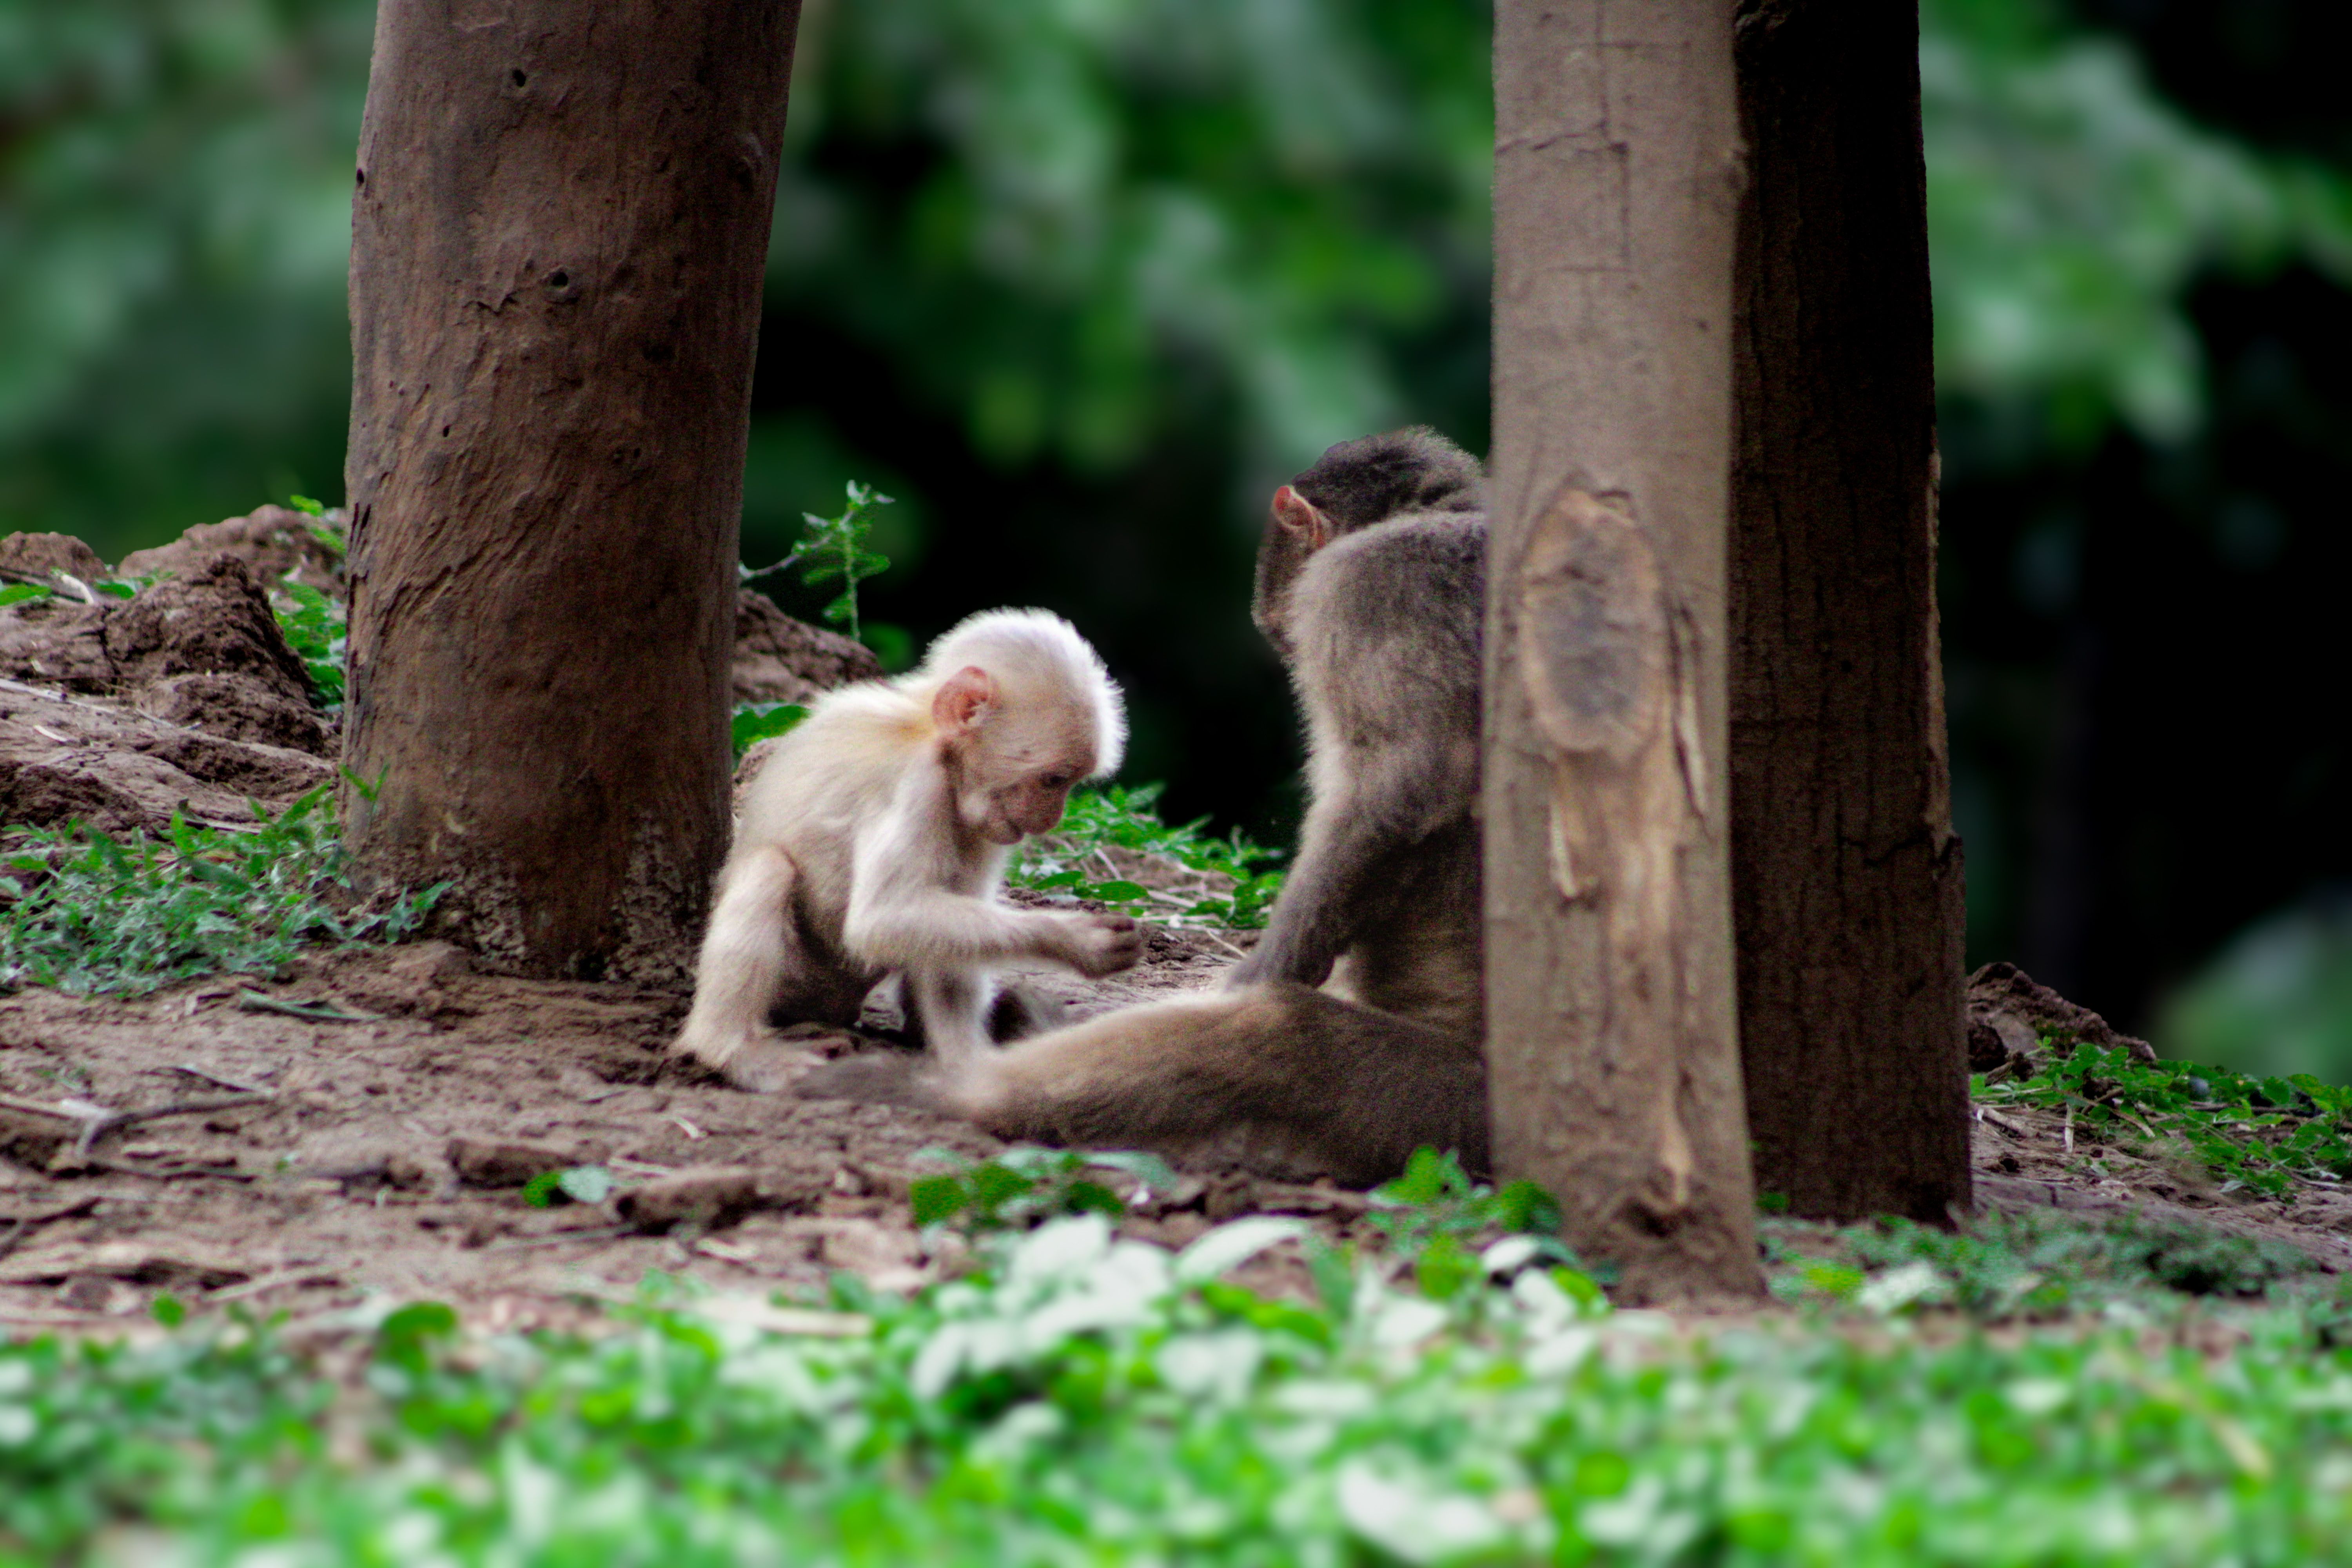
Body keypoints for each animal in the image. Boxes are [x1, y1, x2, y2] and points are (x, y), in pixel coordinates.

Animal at [674, 607, 1146, 1092]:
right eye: (1054, 780)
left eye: (1069, 783)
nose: (1052, 817)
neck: (930, 738)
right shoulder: (917, 784)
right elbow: (882, 919)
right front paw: (1075, 939)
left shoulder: (982, 819)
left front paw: (968, 1064)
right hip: (798, 978)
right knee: (770, 869)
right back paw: (730, 1051)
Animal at [797, 428, 1491, 1185]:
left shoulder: (1374, 585)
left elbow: (1401, 788)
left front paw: (1258, 975)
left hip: (1448, 1107)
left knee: (1273, 1034)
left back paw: (968, 1092)